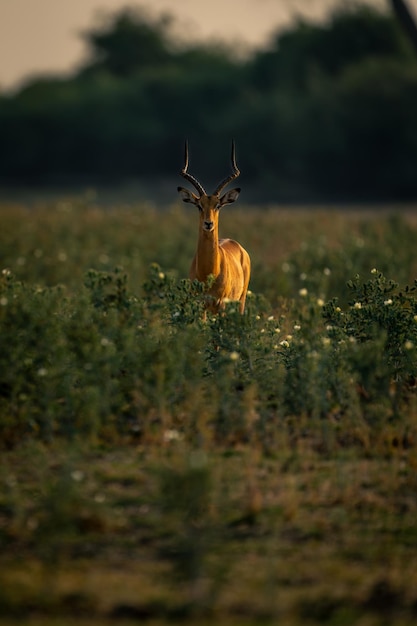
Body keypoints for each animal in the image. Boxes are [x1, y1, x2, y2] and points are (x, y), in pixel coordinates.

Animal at [176, 143, 250, 314]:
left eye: (218, 205)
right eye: (199, 205)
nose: (208, 224)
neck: (209, 272)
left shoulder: (221, 304)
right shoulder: (200, 304)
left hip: (240, 301)